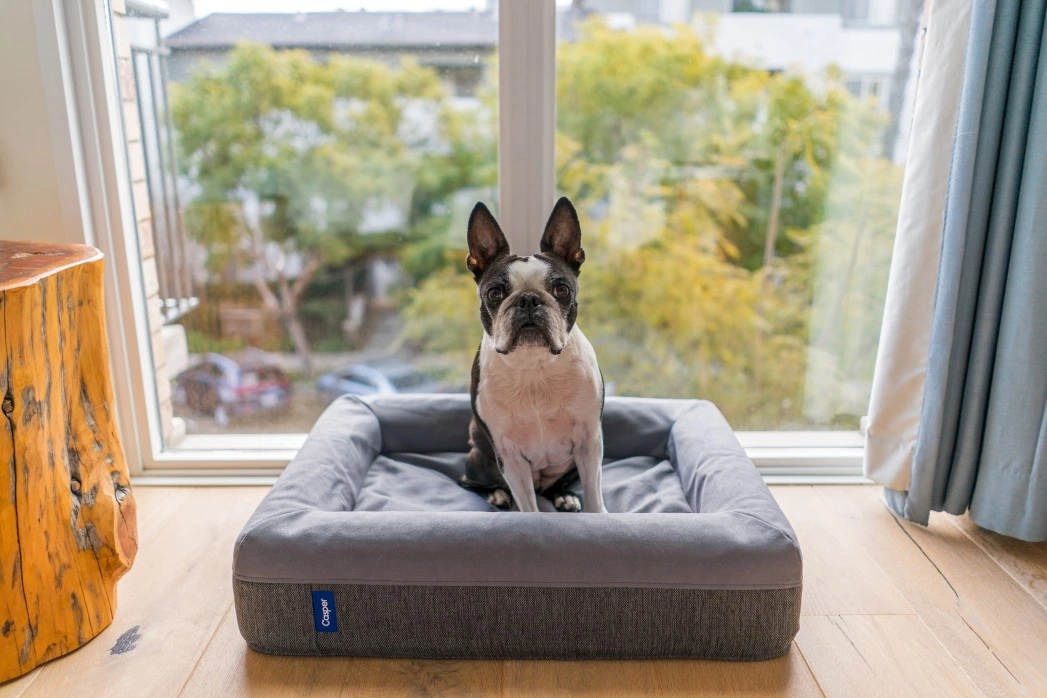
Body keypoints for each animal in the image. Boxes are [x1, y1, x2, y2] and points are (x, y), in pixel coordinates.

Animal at [458, 196, 607, 512]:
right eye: (494, 293)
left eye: (561, 289)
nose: (528, 299)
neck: (534, 365)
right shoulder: (509, 455)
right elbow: (528, 505)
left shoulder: (590, 441)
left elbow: (594, 494)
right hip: (477, 457)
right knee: (468, 481)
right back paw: (496, 494)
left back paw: (564, 496)